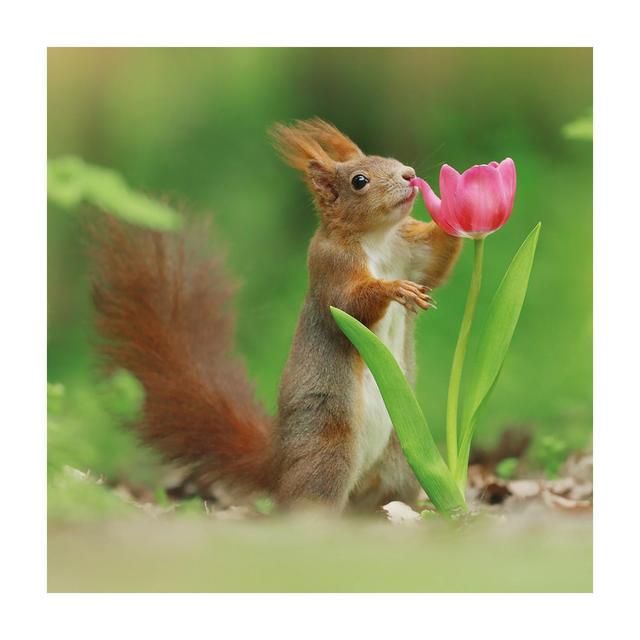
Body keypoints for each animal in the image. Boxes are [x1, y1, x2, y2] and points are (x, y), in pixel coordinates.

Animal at [91, 118, 461, 512]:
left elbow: (436, 262)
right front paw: (394, 289)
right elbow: (349, 304)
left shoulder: (410, 252)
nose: (409, 175)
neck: (378, 239)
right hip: (328, 454)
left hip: (401, 460)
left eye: (391, 159)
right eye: (359, 180)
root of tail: (278, 466)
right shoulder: (330, 268)